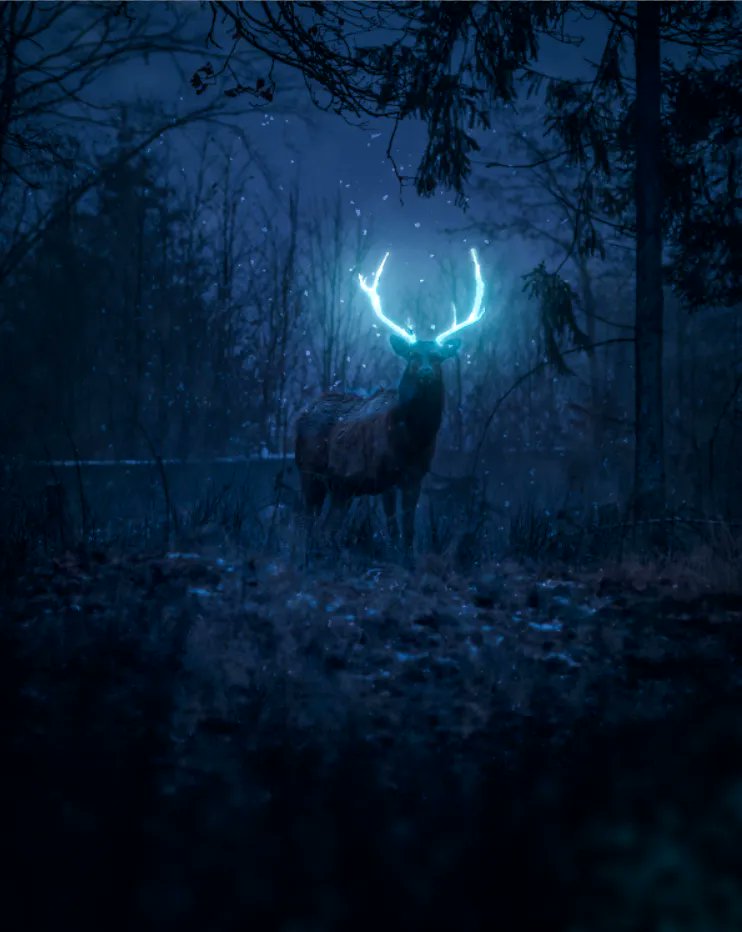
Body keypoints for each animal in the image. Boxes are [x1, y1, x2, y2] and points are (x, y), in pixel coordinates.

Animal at [295, 248, 486, 554]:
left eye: (437, 358)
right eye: (412, 356)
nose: (426, 372)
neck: (410, 439)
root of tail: (301, 413)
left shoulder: (414, 477)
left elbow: (405, 530)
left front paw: (405, 556)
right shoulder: (379, 475)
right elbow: (393, 525)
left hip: (335, 486)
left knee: (322, 527)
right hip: (310, 471)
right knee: (309, 524)